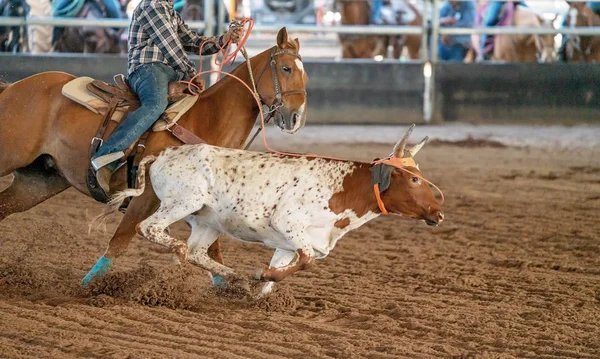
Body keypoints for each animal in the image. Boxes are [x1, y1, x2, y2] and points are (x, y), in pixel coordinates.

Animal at [0, 26, 310, 288]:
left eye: (305, 76)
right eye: (285, 68)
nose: (296, 118)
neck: (208, 121)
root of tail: (14, 88)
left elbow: (213, 249)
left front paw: (230, 287)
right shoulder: (145, 197)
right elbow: (121, 240)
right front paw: (88, 287)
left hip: (38, 181)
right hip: (10, 157)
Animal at [98, 125, 442, 296]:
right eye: (413, 179)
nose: (439, 213)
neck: (342, 187)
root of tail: (162, 155)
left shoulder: (289, 245)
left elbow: (281, 274)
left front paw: (259, 286)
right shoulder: (289, 223)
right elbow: (306, 261)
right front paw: (259, 273)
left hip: (208, 222)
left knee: (197, 252)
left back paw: (233, 276)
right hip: (182, 202)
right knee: (150, 229)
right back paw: (182, 252)